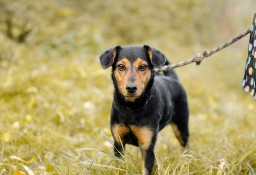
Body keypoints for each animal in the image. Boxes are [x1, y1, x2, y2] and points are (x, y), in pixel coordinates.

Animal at [99, 45, 189, 175]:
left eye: (142, 66)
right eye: (121, 66)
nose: (131, 88)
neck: (132, 108)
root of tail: (172, 79)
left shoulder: (147, 146)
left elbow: (146, 168)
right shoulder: (118, 143)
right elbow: (120, 166)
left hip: (181, 127)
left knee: (186, 145)